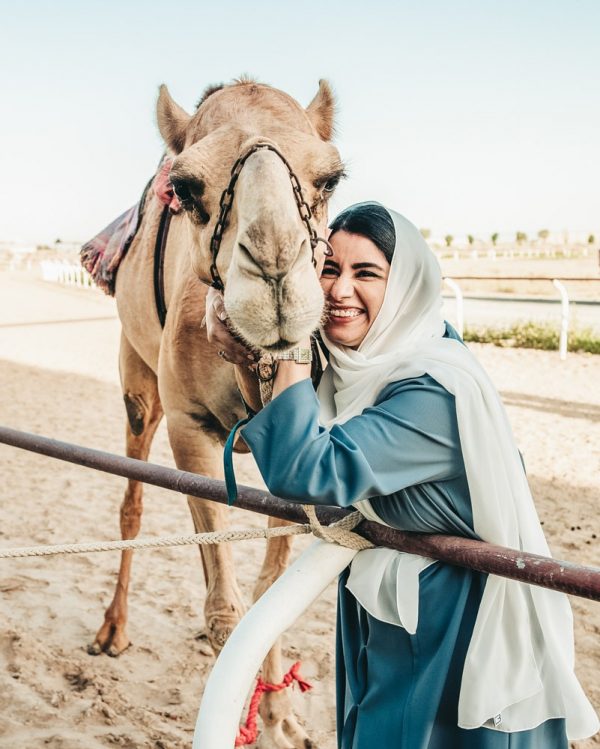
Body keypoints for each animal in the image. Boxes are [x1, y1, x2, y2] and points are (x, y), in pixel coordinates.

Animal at [88, 77, 342, 748]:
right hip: (139, 383)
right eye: (185, 188)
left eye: (331, 179)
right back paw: (112, 631)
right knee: (132, 503)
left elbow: (268, 585)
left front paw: (280, 716)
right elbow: (226, 609)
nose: (276, 276)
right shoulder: (190, 426)